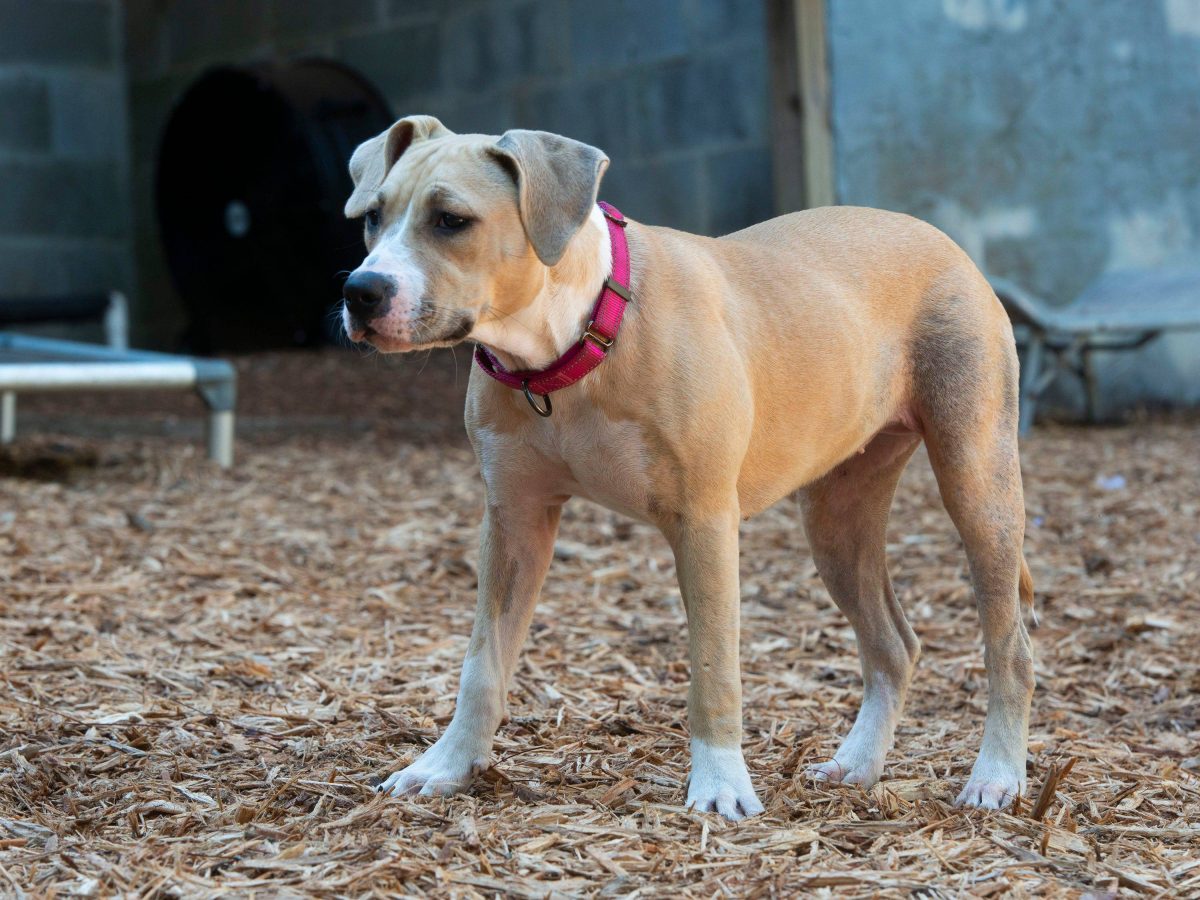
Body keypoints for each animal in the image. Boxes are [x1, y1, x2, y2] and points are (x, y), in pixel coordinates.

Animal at [336, 116, 1032, 820]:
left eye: (452, 220)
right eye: (372, 217)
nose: (359, 292)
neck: (573, 340)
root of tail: (939, 237)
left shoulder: (704, 523)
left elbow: (713, 667)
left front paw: (720, 785)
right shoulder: (514, 521)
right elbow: (482, 662)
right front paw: (445, 765)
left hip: (978, 486)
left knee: (1009, 645)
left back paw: (996, 776)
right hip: (839, 519)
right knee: (894, 646)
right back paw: (856, 764)